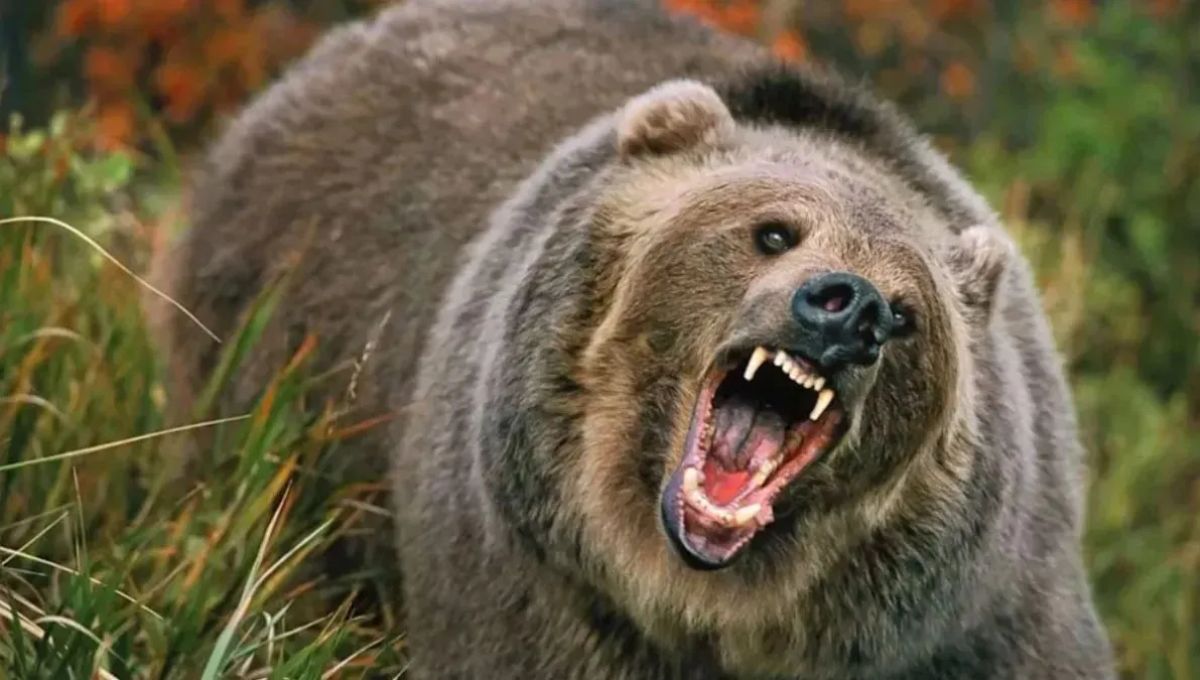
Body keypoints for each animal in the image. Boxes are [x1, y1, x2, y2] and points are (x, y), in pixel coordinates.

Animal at [149, 0, 1116, 678]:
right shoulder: (536, 583)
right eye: (773, 230)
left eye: (911, 313)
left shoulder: (977, 617)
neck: (709, 604)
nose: (851, 309)